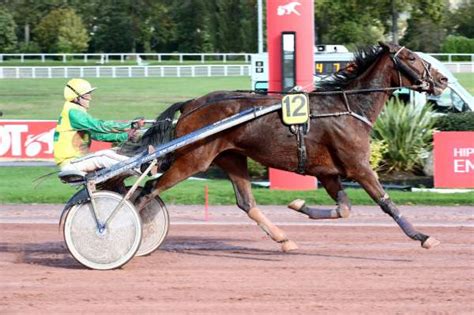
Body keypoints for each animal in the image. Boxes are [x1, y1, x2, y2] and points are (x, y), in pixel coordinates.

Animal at [128, 43, 446, 253]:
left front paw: (299, 205)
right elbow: (386, 203)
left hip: (232, 158)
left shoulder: (329, 173)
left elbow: (343, 209)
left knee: (247, 203)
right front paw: (422, 236)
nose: (442, 79)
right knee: (147, 192)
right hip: (192, 159)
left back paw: (283, 239)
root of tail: (192, 104)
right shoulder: (359, 167)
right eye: (411, 57)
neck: (348, 107)